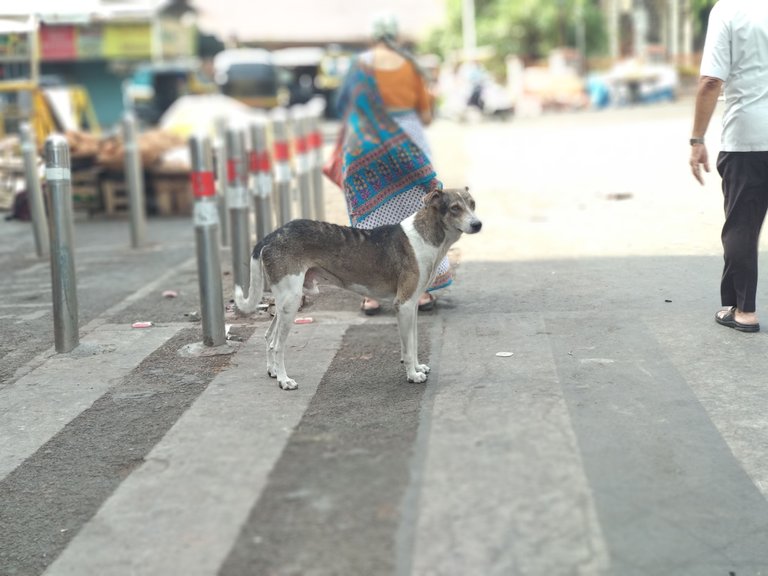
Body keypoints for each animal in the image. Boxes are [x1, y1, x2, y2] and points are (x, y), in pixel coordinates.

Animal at [234, 187, 480, 390]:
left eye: (473, 203)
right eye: (455, 208)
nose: (478, 224)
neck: (425, 235)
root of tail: (271, 236)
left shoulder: (413, 306)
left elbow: (413, 341)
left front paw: (418, 368)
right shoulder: (404, 305)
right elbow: (409, 349)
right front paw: (412, 375)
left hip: (287, 301)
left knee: (268, 336)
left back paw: (273, 372)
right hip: (291, 301)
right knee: (277, 344)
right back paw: (284, 380)